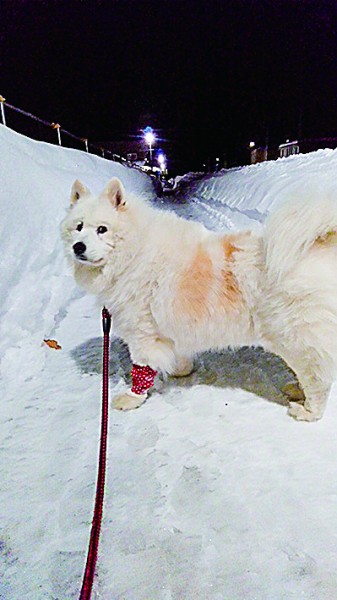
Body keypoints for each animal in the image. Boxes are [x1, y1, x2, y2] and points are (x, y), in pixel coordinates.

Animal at [60, 177, 337, 422]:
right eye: (79, 227)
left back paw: (307, 411)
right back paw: (295, 389)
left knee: (318, 378)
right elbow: (179, 353)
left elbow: (141, 368)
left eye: (102, 229)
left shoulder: (142, 333)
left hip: (293, 337)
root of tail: (320, 247)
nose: (78, 247)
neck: (134, 254)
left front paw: (131, 398)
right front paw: (181, 370)